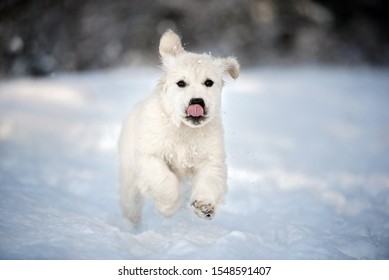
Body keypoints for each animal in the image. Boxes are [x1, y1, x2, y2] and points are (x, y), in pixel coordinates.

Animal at [118, 29, 239, 224]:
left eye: (209, 82)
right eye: (181, 83)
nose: (197, 101)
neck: (184, 129)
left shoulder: (211, 158)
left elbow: (210, 180)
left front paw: (205, 205)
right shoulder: (148, 156)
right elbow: (165, 180)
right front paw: (166, 208)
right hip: (129, 179)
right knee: (131, 205)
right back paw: (132, 225)